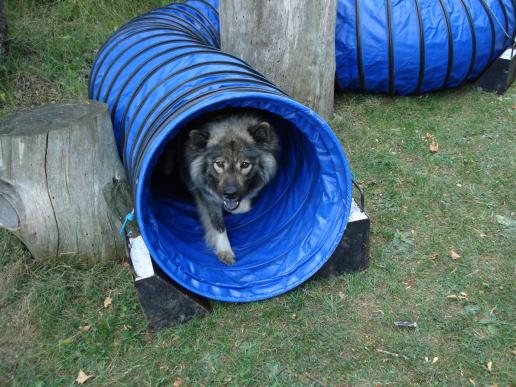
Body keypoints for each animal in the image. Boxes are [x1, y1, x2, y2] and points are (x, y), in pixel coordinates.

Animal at [170, 110, 280, 266]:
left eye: (245, 164)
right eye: (220, 164)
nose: (230, 194)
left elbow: (243, 207)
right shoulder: (207, 194)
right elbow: (218, 224)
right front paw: (224, 249)